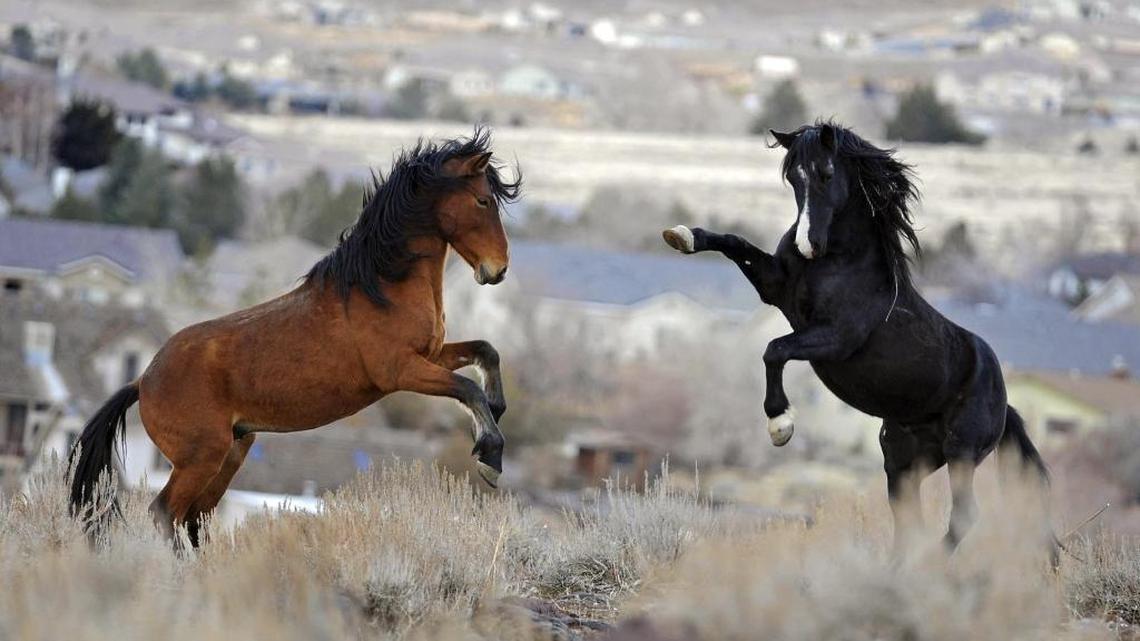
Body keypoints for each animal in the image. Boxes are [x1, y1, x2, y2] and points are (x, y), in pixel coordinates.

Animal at [69, 128, 521, 546]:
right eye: (483, 201)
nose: (497, 269)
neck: (381, 286)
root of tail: (142, 381)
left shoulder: (432, 354)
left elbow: (486, 352)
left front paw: (497, 411)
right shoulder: (401, 371)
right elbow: (467, 388)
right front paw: (490, 456)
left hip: (231, 452)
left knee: (193, 519)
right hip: (202, 458)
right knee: (165, 513)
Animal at [662, 121, 1051, 553]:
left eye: (827, 173)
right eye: (792, 177)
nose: (807, 244)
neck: (838, 261)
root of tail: (1004, 401)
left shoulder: (835, 339)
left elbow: (774, 350)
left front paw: (780, 425)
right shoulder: (774, 286)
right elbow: (735, 243)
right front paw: (682, 235)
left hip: (961, 451)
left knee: (963, 516)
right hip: (904, 461)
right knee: (909, 520)